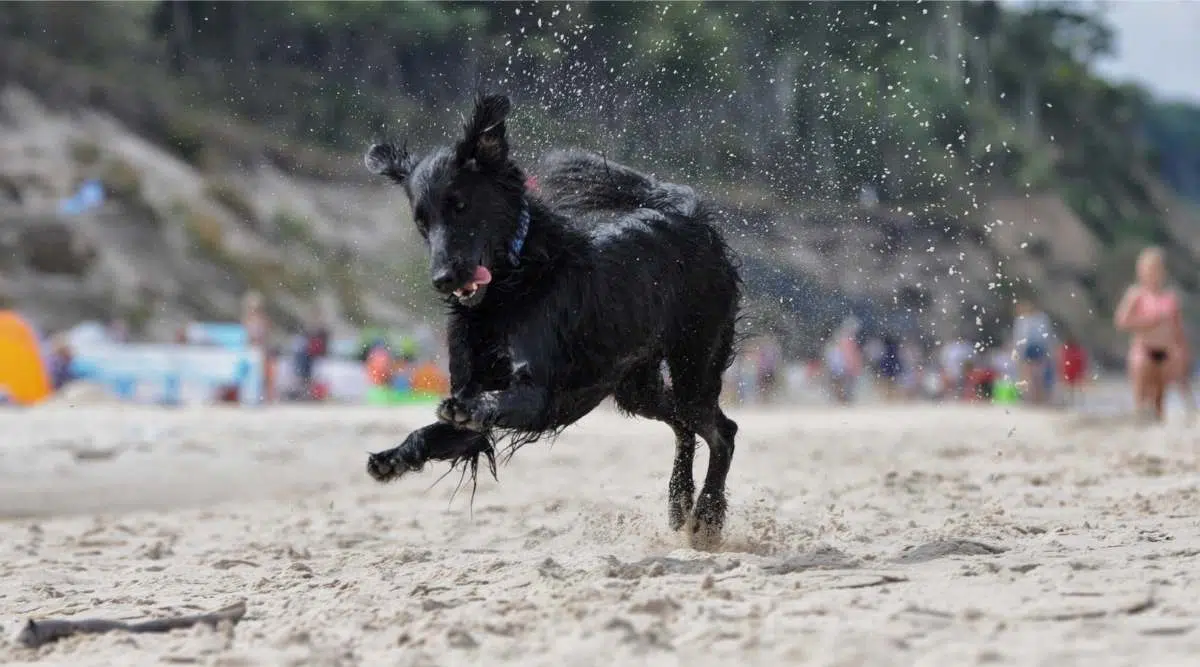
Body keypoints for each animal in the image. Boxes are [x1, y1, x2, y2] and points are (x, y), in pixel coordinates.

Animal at [362, 96, 739, 549]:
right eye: (422, 222)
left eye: (460, 205)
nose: (443, 279)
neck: (512, 287)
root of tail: (688, 215)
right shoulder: (472, 405)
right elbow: (434, 431)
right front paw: (392, 458)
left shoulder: (536, 392)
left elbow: (488, 403)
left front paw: (467, 408)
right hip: (637, 387)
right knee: (685, 428)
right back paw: (679, 501)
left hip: (694, 365)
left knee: (723, 431)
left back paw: (707, 515)